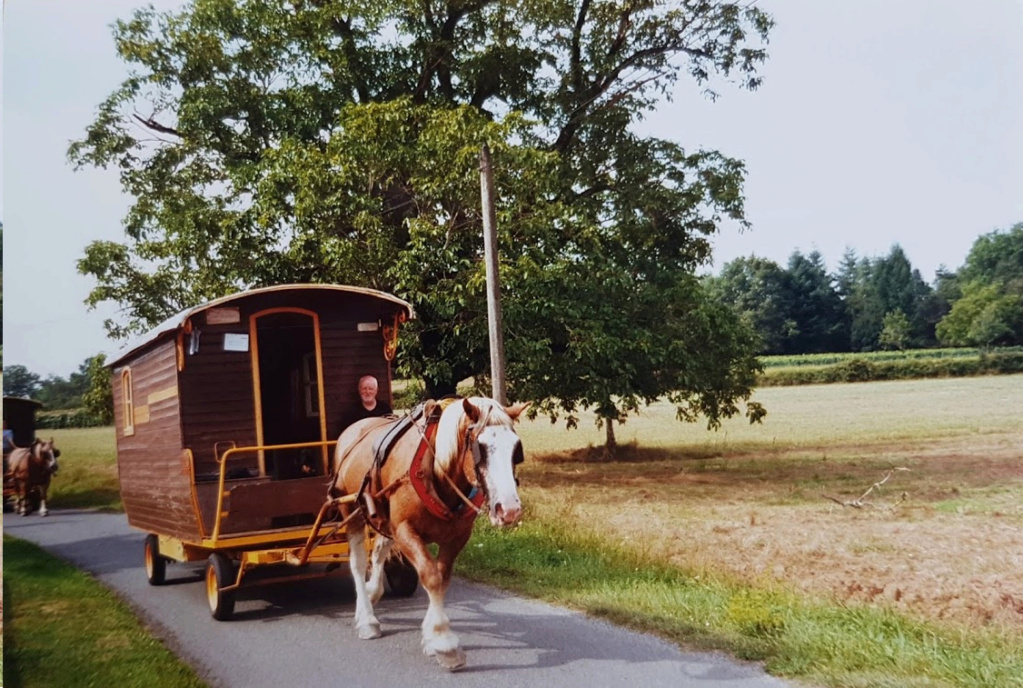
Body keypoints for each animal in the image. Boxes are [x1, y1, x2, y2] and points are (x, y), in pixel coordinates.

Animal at [333, 394, 531, 666]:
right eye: (480, 448)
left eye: (515, 449)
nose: (509, 509)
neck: (437, 470)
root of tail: (354, 428)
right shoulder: (405, 531)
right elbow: (431, 576)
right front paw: (443, 641)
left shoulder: (456, 537)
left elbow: (442, 577)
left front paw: (431, 635)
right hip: (351, 510)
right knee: (359, 563)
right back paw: (366, 618)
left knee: (380, 550)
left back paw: (373, 591)